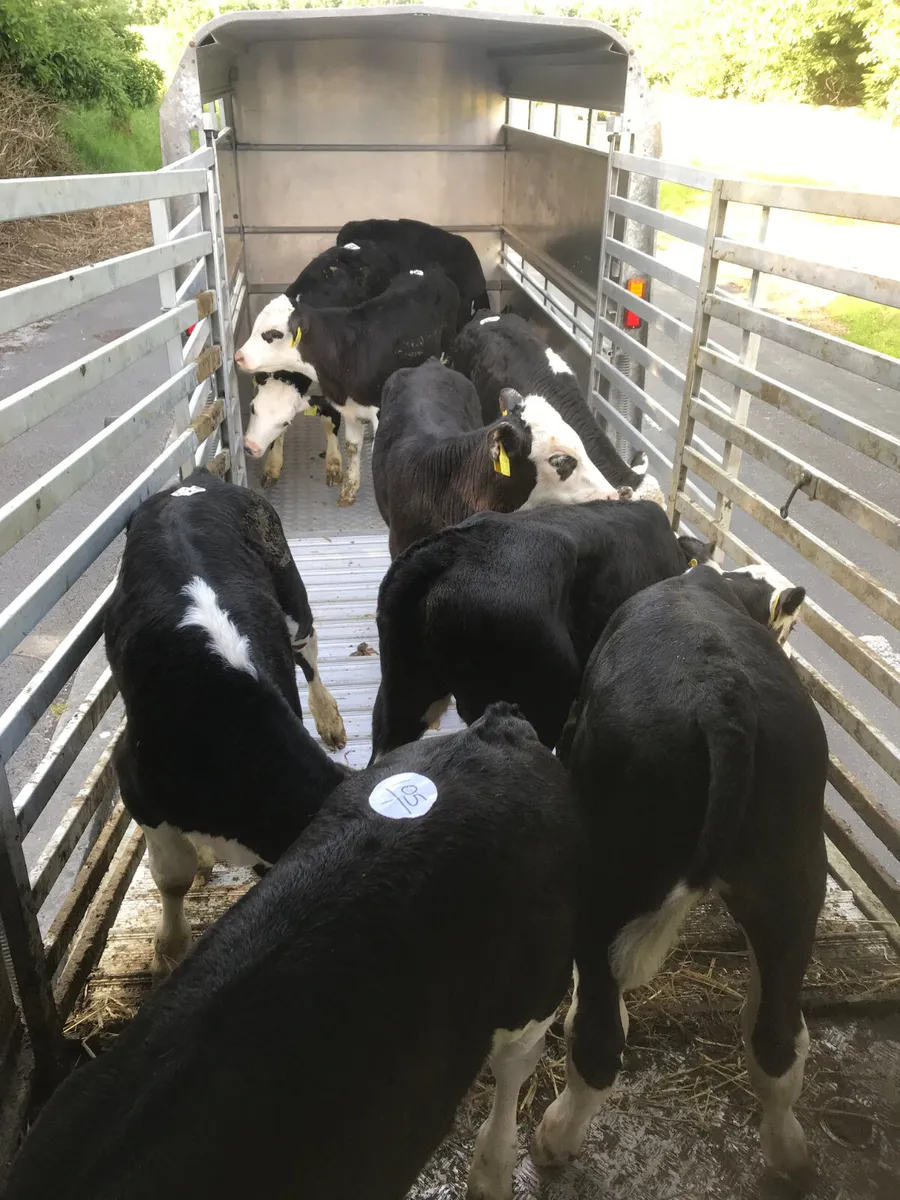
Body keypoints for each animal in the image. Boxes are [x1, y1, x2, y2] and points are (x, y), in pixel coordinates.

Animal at [104, 468, 348, 979]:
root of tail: (199, 479)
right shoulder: (135, 784)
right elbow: (171, 878)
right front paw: (170, 949)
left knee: (309, 651)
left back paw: (330, 719)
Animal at [233, 240, 393, 486]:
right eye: (252, 409)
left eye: (285, 422)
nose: (251, 448)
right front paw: (273, 463)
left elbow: (331, 421)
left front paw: (334, 464)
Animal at [531, 562, 823, 1183]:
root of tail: (723, 697)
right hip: (794, 882)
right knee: (777, 1039)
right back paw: (788, 1155)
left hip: (610, 878)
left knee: (598, 1037)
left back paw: (555, 1139)